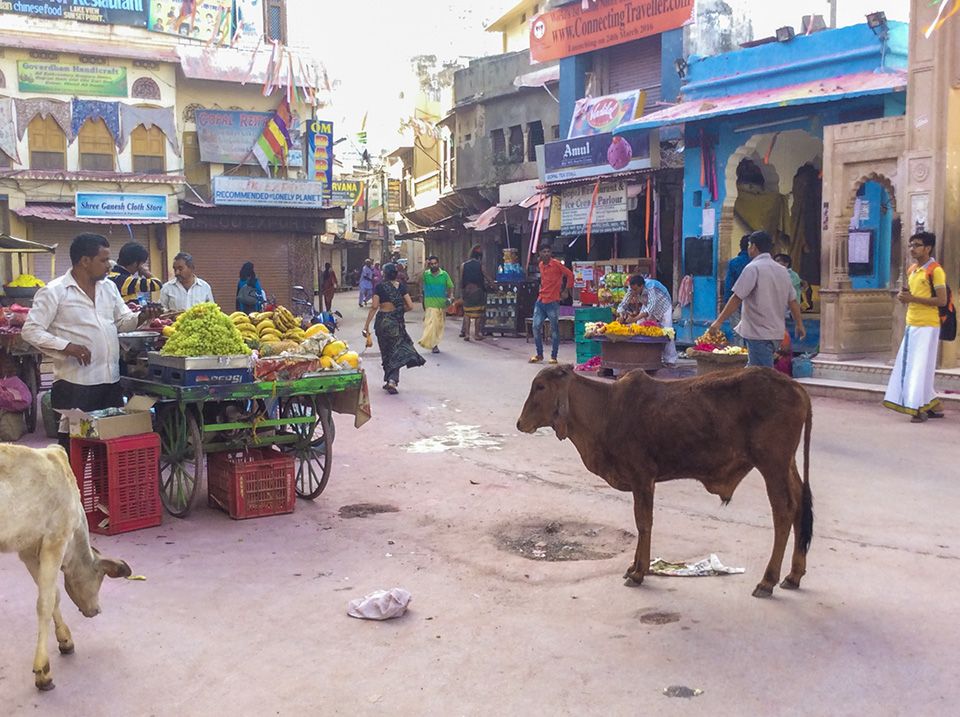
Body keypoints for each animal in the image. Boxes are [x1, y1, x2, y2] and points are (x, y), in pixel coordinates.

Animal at [516, 366, 808, 596]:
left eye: (540, 387)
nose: (520, 423)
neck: (607, 410)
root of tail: (796, 386)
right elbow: (641, 523)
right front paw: (633, 567)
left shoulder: (642, 477)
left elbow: (643, 523)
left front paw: (638, 572)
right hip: (787, 465)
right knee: (801, 504)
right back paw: (793, 576)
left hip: (772, 464)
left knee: (784, 511)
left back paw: (767, 581)